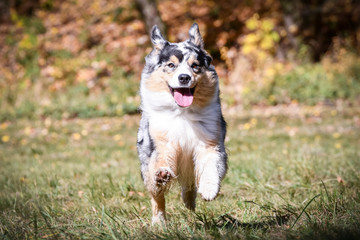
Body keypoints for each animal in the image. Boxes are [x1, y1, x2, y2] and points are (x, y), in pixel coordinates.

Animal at [136, 23, 226, 224]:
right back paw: (159, 221)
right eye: (171, 65)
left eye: (195, 66)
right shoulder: (162, 142)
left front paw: (209, 189)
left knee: (189, 184)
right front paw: (162, 174)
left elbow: (210, 165)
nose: (184, 77)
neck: (182, 112)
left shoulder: (210, 142)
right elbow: (162, 161)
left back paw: (189, 202)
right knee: (156, 195)